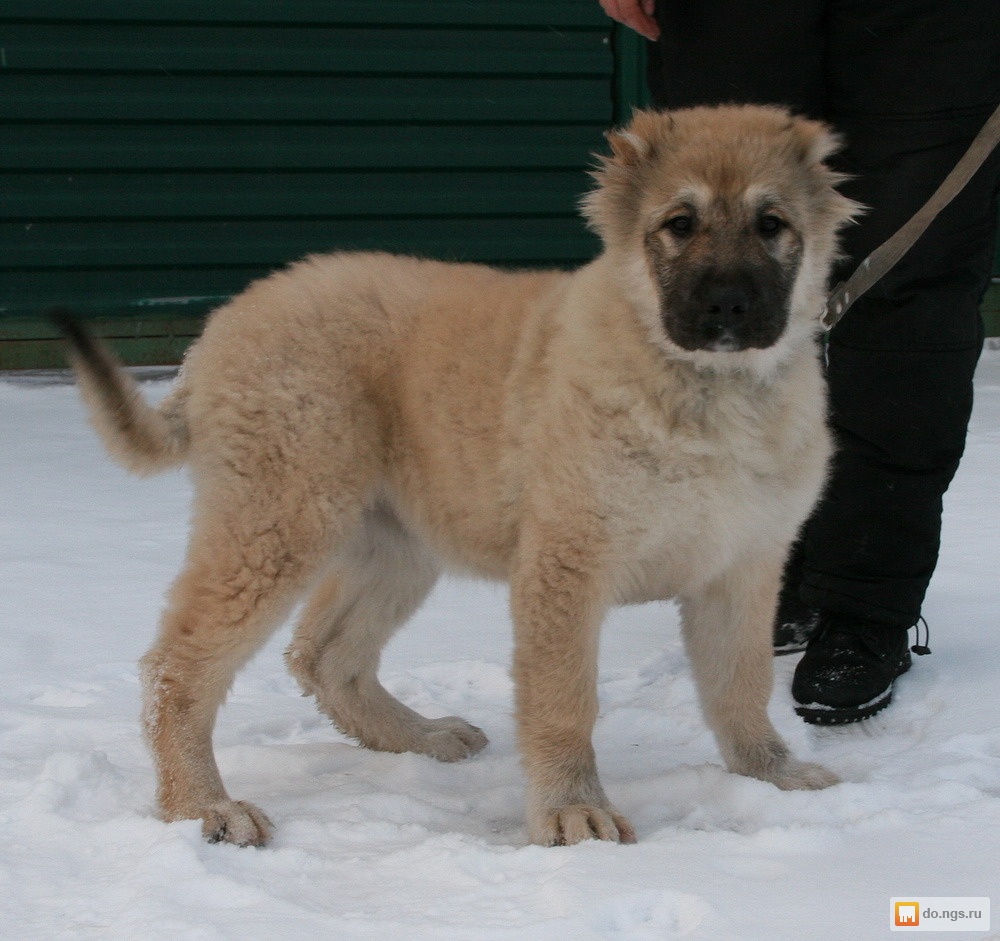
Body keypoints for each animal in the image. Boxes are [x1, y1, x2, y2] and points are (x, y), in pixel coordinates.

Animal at [60, 106, 860, 848]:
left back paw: (419, 737)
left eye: (771, 224)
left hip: (396, 542)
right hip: (277, 522)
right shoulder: (568, 562)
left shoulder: (741, 566)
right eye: (680, 223)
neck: (706, 388)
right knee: (176, 668)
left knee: (323, 654)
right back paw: (201, 806)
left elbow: (741, 684)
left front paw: (770, 773)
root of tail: (219, 330)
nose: (728, 304)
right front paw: (573, 810)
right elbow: (565, 700)